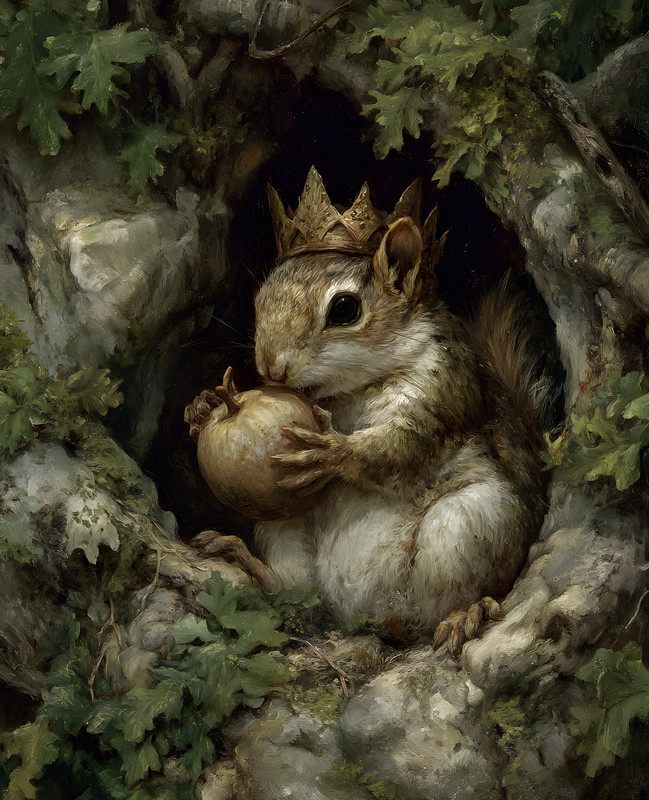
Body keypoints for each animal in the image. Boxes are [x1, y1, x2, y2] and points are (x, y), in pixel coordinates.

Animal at [190, 167, 547, 651]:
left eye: (344, 309)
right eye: (260, 298)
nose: (270, 367)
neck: (347, 393)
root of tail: (367, 614)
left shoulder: (447, 389)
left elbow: (400, 445)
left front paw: (332, 452)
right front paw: (203, 404)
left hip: (466, 525)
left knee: (440, 605)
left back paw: (464, 614)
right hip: (283, 529)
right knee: (294, 595)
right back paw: (241, 556)